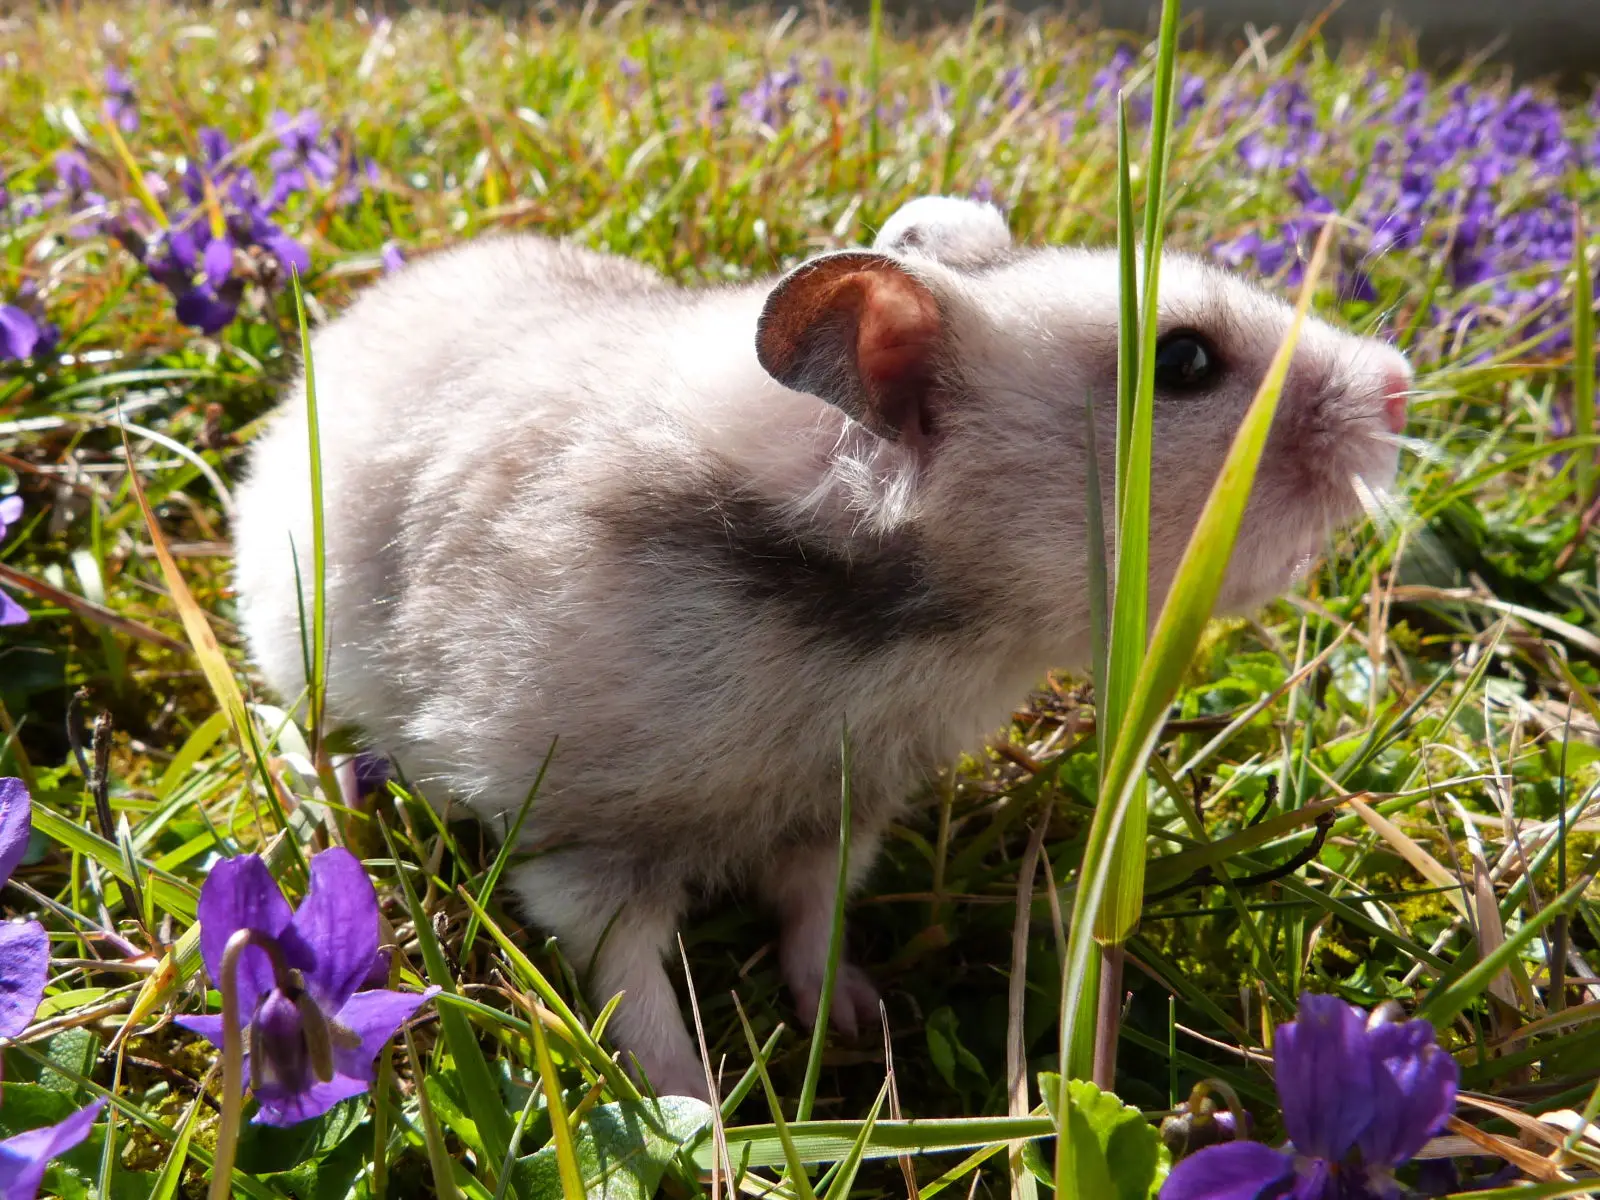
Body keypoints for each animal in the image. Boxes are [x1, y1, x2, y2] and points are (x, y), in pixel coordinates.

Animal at [228, 196, 1411, 1101]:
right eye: (1186, 360)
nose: (1399, 385)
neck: (902, 640)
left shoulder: (843, 808)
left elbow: (811, 912)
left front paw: (852, 1019)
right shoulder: (583, 838)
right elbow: (633, 979)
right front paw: (701, 1111)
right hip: (291, 640)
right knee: (291, 724)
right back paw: (335, 791)